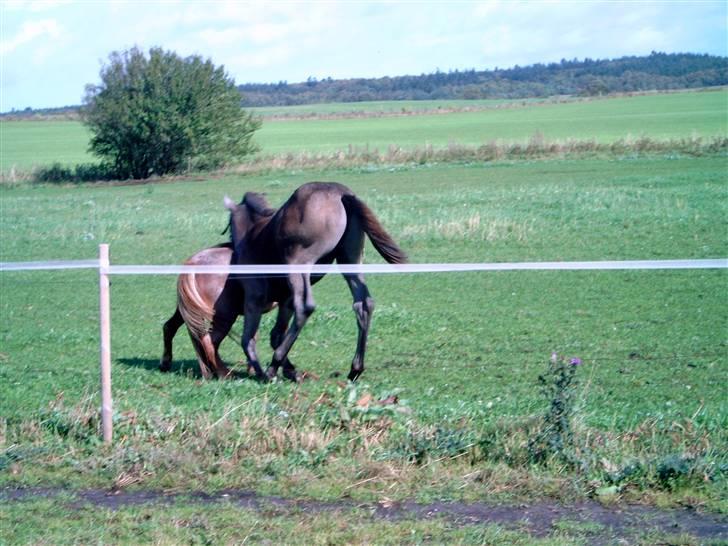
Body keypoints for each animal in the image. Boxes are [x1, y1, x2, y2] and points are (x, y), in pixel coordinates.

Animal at [225, 181, 406, 380]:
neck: (253, 234)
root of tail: (341, 193)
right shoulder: (286, 300)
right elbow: (276, 334)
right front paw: (291, 370)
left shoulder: (254, 297)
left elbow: (248, 339)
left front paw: (267, 372)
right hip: (349, 259)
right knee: (364, 303)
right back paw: (355, 369)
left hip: (299, 264)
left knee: (305, 307)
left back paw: (273, 367)